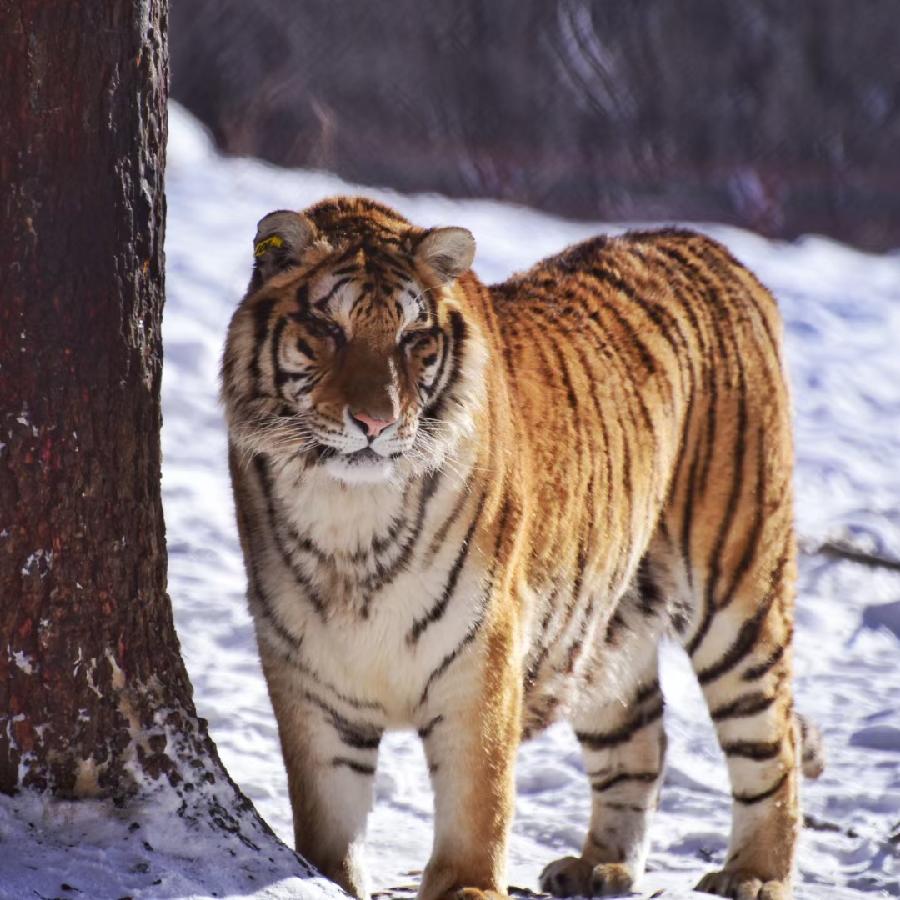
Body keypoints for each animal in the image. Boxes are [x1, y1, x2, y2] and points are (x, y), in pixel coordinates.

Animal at [221, 196, 821, 900]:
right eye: (328, 330)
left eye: (412, 339)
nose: (375, 422)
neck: (350, 513)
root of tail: (717, 250)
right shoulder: (307, 669)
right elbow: (327, 818)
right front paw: (327, 880)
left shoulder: (482, 648)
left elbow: (478, 793)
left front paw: (468, 887)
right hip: (606, 618)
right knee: (640, 734)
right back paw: (600, 866)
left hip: (738, 589)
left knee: (772, 740)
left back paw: (754, 874)